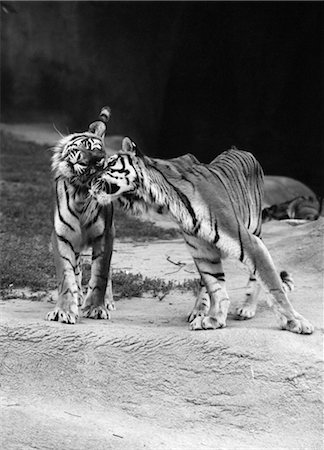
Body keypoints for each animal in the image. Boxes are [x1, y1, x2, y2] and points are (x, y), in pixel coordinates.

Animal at [46, 106, 115, 324]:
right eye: (86, 147)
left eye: (97, 163)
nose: (88, 162)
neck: (80, 193)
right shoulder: (62, 236)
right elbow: (66, 276)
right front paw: (64, 310)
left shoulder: (105, 235)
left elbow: (100, 274)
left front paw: (96, 308)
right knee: (76, 269)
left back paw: (108, 302)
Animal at [89, 137, 314, 334]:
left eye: (110, 163)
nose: (89, 179)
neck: (163, 200)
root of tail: (239, 149)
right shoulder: (202, 250)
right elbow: (215, 286)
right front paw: (214, 319)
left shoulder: (248, 243)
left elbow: (273, 286)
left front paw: (296, 323)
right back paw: (199, 311)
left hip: (255, 227)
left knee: (255, 276)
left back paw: (247, 307)